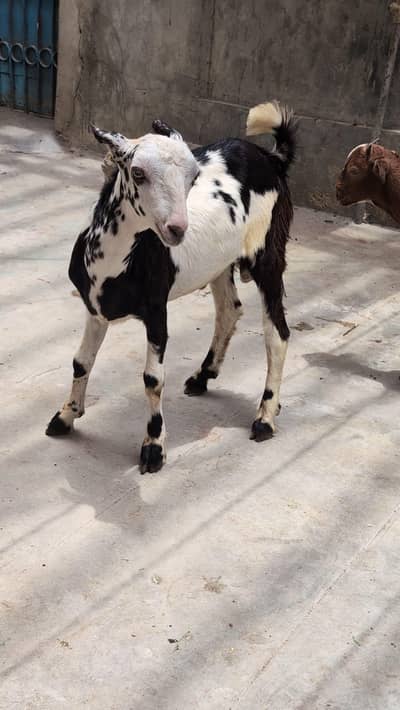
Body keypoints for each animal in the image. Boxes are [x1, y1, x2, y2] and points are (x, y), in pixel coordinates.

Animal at [46, 101, 297, 474]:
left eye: (193, 176)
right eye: (137, 173)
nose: (177, 229)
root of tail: (272, 158)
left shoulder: (156, 309)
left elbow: (153, 379)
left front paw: (153, 448)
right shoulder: (94, 308)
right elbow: (80, 362)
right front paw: (65, 417)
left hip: (269, 252)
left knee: (277, 333)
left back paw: (265, 416)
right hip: (219, 262)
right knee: (229, 310)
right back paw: (203, 377)